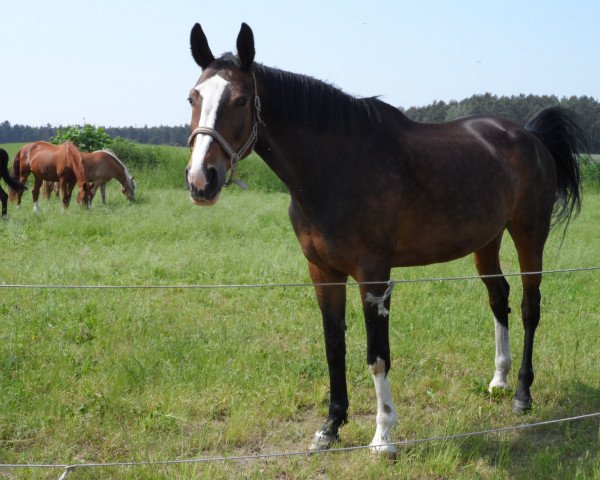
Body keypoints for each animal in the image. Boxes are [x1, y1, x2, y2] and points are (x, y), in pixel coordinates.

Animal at [185, 23, 584, 458]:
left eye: (241, 99)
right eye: (193, 97)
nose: (201, 180)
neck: (336, 167)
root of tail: (529, 136)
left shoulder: (374, 276)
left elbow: (377, 356)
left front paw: (383, 436)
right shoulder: (322, 272)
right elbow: (334, 346)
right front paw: (330, 427)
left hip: (529, 232)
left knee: (530, 306)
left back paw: (523, 394)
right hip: (487, 240)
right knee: (500, 298)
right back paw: (499, 380)